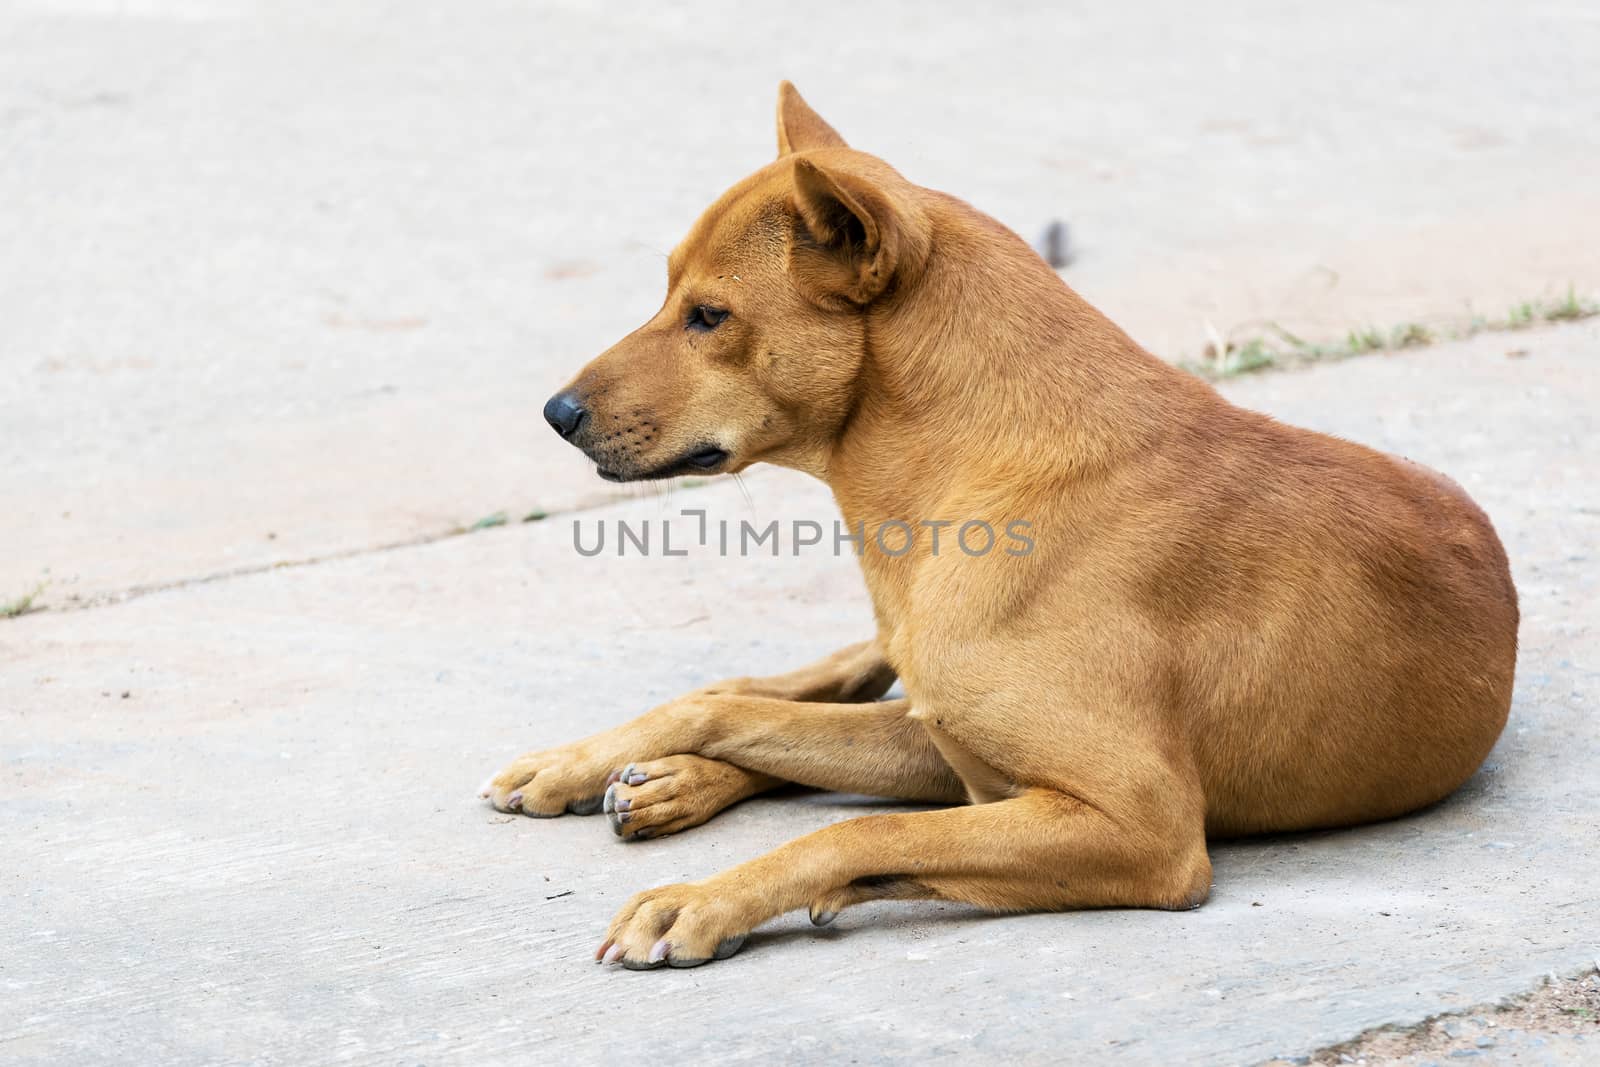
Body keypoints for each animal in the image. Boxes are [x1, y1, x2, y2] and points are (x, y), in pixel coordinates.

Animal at [473, 81, 1510, 966]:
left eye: (709, 316)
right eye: (671, 297)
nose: (555, 414)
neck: (974, 471)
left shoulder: (1136, 824)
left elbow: (862, 823)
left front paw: (711, 896)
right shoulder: (970, 748)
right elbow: (740, 713)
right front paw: (600, 762)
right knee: (794, 685)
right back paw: (636, 770)